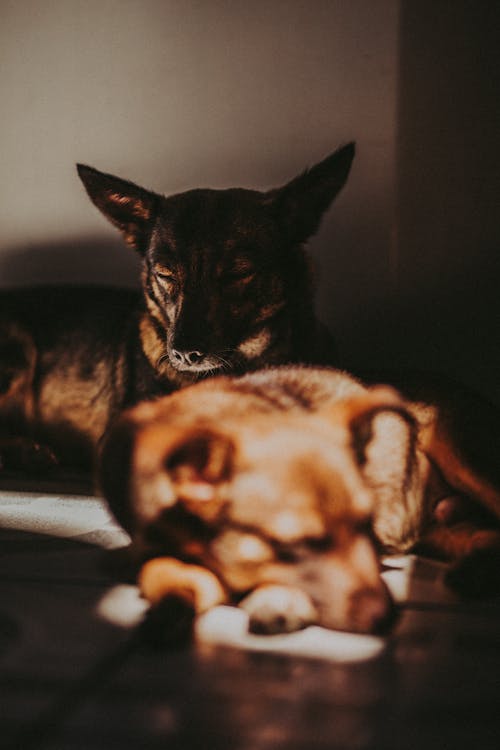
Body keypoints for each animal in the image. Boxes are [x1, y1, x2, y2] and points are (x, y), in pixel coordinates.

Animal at [99, 368, 500, 636]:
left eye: (366, 524)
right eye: (300, 543)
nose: (387, 618)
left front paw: (279, 597)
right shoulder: (149, 547)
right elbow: (160, 570)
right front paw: (170, 602)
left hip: (460, 453)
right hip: (439, 528)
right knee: (480, 533)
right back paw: (477, 568)